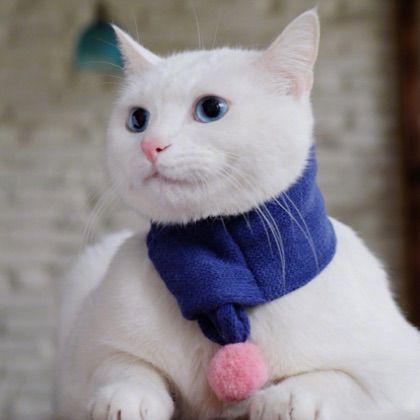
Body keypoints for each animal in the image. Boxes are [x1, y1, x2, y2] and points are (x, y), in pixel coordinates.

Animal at [55, 9, 420, 420]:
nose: (151, 146)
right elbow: (123, 365)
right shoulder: (80, 361)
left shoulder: (398, 373)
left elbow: (334, 379)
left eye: (210, 109)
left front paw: (286, 399)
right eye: (137, 120)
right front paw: (127, 397)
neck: (220, 270)